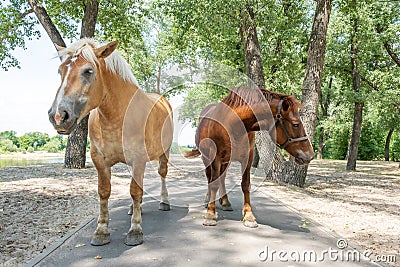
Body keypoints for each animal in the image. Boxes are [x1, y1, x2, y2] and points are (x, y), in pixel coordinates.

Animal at [47, 38, 173, 247]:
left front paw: (135, 230)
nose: (58, 116)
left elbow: (135, 191)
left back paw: (164, 202)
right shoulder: (100, 160)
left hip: (164, 152)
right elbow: (105, 192)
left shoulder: (138, 159)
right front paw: (101, 230)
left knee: (162, 174)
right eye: (60, 71)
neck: (117, 116)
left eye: (88, 71)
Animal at [186, 87, 314, 228]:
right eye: (296, 124)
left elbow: (245, 185)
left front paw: (249, 216)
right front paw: (210, 214)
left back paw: (225, 201)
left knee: (222, 178)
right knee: (210, 177)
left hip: (226, 161)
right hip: (207, 159)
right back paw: (208, 199)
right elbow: (214, 183)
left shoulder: (248, 158)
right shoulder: (216, 158)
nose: (310, 155)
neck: (233, 125)